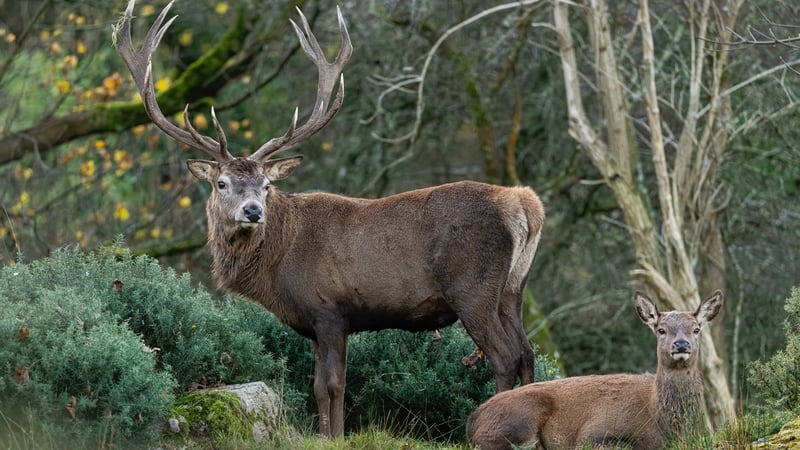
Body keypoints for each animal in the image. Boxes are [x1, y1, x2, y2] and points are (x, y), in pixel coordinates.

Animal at [113, 0, 545, 437]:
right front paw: (332, 433)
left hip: (472, 287)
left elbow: (329, 384)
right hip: (513, 288)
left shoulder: (328, 310)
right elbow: (330, 385)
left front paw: (330, 434)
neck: (278, 260)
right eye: (221, 183)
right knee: (527, 352)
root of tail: (523, 204)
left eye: (266, 184)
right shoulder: (326, 322)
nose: (253, 211)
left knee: (505, 355)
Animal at [467, 290, 723, 450]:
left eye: (696, 328)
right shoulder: (593, 433)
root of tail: (474, 418)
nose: (681, 345)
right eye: (661, 329)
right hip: (518, 424)